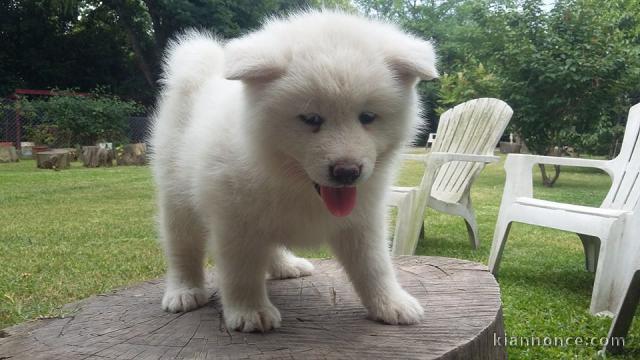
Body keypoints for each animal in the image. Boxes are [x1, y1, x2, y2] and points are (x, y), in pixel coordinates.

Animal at [151, 9, 436, 334]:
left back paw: (286, 266)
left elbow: (374, 265)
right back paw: (183, 291)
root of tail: (201, 80)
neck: (291, 181)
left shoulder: (363, 219)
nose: (347, 172)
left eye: (367, 117)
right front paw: (250, 311)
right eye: (311, 118)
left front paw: (391, 303)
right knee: (182, 247)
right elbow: (241, 270)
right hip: (177, 196)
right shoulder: (235, 220)